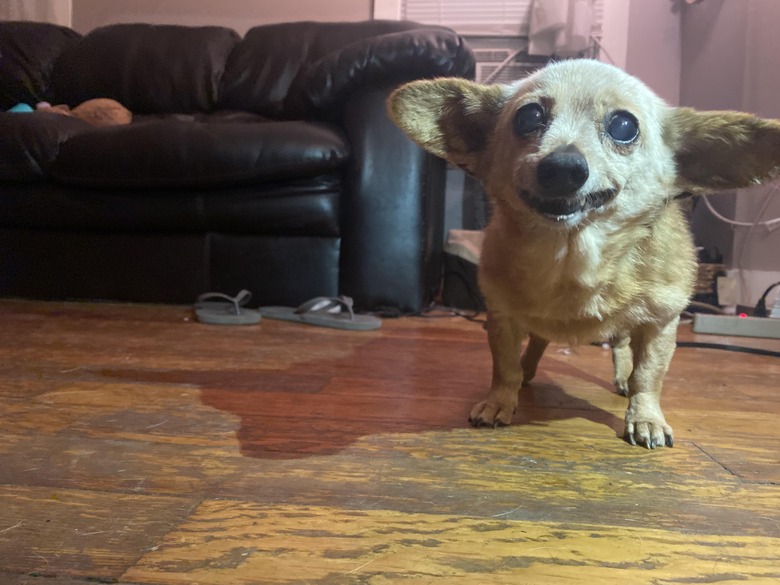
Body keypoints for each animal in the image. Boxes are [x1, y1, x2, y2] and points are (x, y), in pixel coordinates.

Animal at [388, 58, 780, 448]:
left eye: (624, 126)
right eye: (529, 116)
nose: (563, 167)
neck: (571, 258)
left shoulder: (660, 323)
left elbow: (648, 376)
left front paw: (646, 417)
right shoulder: (501, 318)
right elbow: (504, 367)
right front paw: (499, 401)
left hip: (629, 326)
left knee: (621, 346)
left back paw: (622, 378)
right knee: (538, 342)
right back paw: (530, 368)